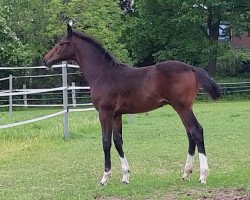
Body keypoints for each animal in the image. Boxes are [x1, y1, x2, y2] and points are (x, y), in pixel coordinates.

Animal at [43, 20, 221, 186]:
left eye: (61, 43)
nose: (46, 60)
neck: (103, 74)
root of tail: (191, 68)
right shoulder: (116, 115)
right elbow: (118, 142)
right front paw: (125, 176)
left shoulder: (105, 113)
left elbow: (106, 142)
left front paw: (105, 177)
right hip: (184, 108)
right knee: (190, 134)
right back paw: (186, 173)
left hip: (182, 107)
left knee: (196, 131)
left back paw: (202, 175)